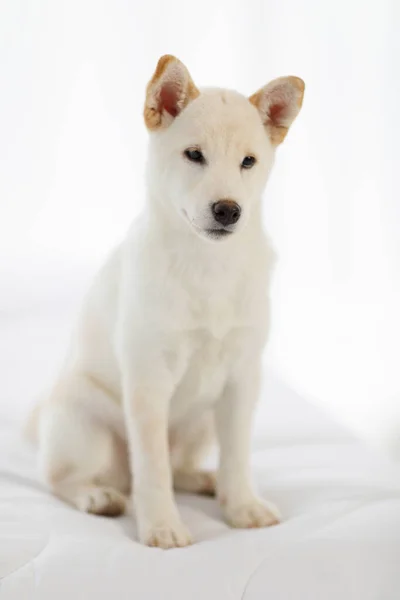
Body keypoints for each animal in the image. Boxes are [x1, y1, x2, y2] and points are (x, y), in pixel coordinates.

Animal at [27, 55, 304, 548]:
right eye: (194, 155)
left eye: (248, 162)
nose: (228, 210)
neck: (207, 266)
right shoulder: (148, 382)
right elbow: (152, 470)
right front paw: (162, 525)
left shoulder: (242, 379)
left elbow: (237, 457)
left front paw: (242, 505)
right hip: (86, 429)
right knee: (64, 479)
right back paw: (98, 496)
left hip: (203, 421)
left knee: (180, 467)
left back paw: (207, 481)